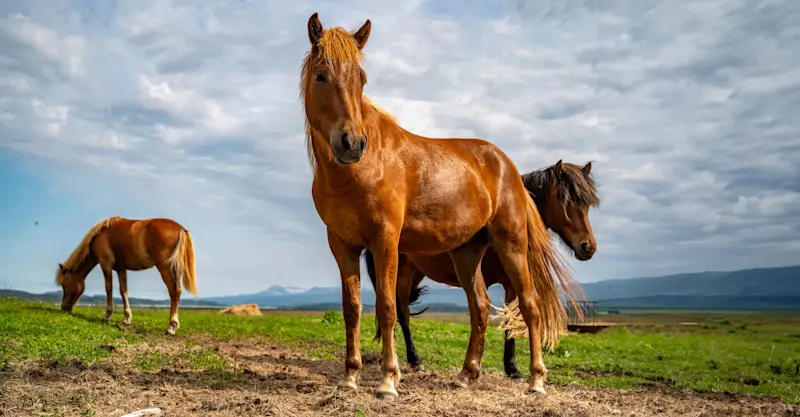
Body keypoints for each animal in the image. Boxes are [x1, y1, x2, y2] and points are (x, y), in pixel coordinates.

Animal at [55, 216, 198, 335]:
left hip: (165, 268)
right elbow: (123, 291)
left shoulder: (105, 264)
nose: (64, 307)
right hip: (175, 269)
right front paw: (127, 318)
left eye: (64, 285)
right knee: (177, 291)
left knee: (173, 292)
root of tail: (180, 228)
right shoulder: (121, 269)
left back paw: (171, 326)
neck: (100, 235)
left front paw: (107, 315)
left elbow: (109, 288)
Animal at [365, 160, 599, 378]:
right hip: (402, 273)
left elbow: (508, 321)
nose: (588, 247)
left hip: (416, 273)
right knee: (403, 312)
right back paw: (414, 360)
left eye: (587, 203)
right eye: (565, 200)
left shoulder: (510, 283)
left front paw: (512, 368)